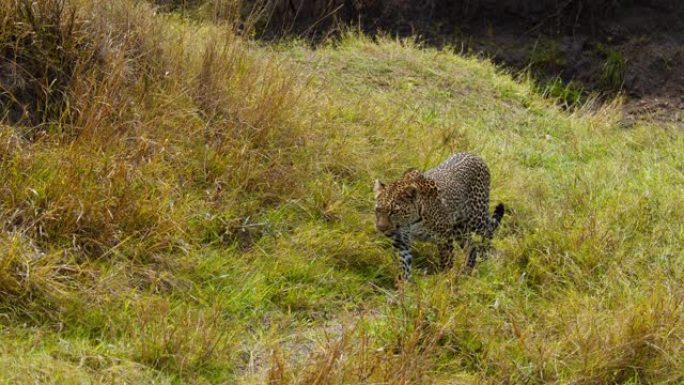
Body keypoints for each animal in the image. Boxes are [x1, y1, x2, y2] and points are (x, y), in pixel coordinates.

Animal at [372, 152, 504, 280]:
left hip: (476, 217)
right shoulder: (400, 243)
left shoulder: (444, 238)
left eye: (394, 211)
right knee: (471, 248)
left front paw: (445, 281)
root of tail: (476, 156)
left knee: (489, 229)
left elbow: (447, 263)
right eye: (378, 209)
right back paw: (465, 272)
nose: (381, 228)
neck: (411, 224)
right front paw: (404, 285)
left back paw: (485, 255)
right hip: (458, 229)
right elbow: (404, 268)